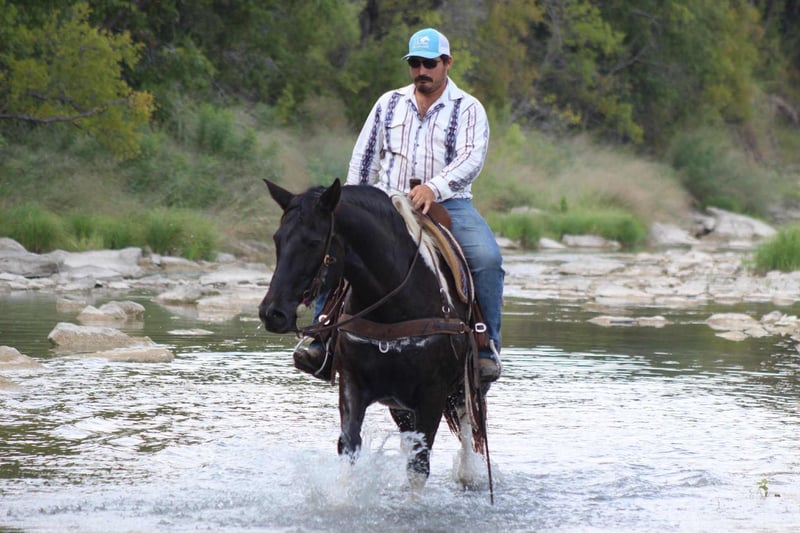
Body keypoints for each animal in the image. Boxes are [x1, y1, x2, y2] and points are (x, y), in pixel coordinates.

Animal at [258, 178, 491, 497]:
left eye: (313, 242)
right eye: (277, 239)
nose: (272, 313)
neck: (394, 305)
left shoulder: (432, 393)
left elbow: (419, 464)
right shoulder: (352, 385)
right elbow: (349, 446)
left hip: (461, 386)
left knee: (468, 423)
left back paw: (468, 474)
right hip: (401, 406)